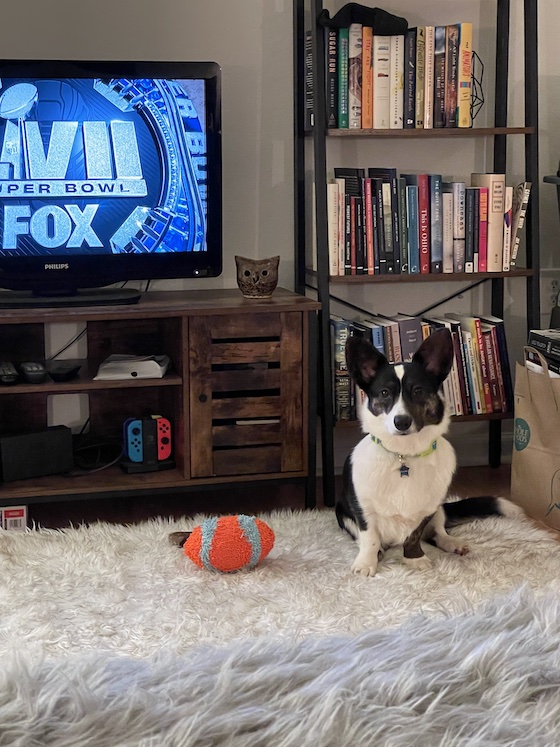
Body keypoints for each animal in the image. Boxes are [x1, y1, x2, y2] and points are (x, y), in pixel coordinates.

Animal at [334, 328, 524, 580]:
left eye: (418, 390)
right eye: (384, 393)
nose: (401, 422)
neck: (404, 454)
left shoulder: (427, 509)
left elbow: (415, 536)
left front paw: (414, 559)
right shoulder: (362, 508)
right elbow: (370, 537)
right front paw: (366, 564)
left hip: (440, 509)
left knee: (438, 533)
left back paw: (454, 544)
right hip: (342, 512)